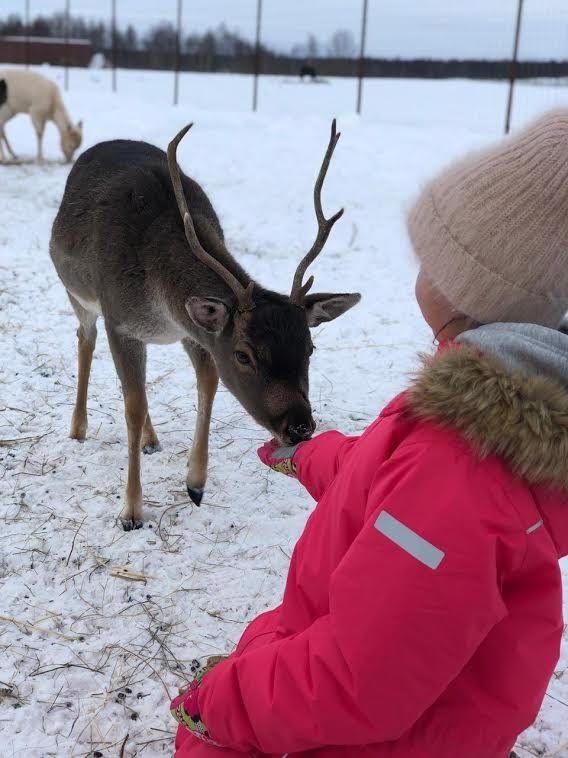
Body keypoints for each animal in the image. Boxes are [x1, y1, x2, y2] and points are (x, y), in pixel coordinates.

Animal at [50, 121, 360, 532]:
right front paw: (131, 511)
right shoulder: (120, 321)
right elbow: (132, 405)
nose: (300, 426)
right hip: (77, 294)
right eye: (243, 355)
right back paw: (79, 427)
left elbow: (207, 384)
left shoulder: (194, 334)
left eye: (310, 347)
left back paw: (151, 438)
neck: (157, 299)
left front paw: (195, 483)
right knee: (86, 339)